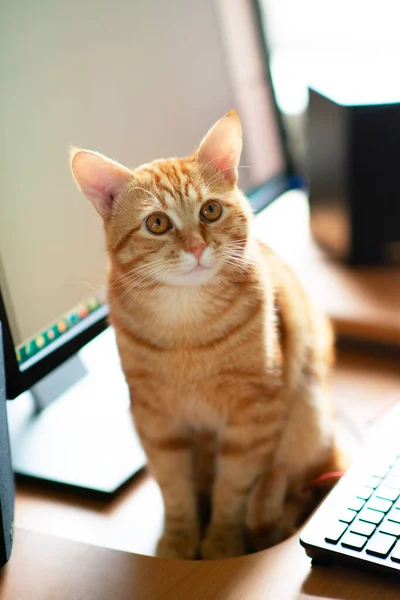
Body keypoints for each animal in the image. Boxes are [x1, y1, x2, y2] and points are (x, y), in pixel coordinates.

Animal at [71, 111, 340, 556]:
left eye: (210, 211)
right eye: (157, 223)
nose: (197, 247)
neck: (188, 331)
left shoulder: (252, 416)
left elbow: (232, 490)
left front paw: (221, 542)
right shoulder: (155, 420)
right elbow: (174, 489)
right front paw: (180, 540)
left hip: (309, 418)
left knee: (286, 487)